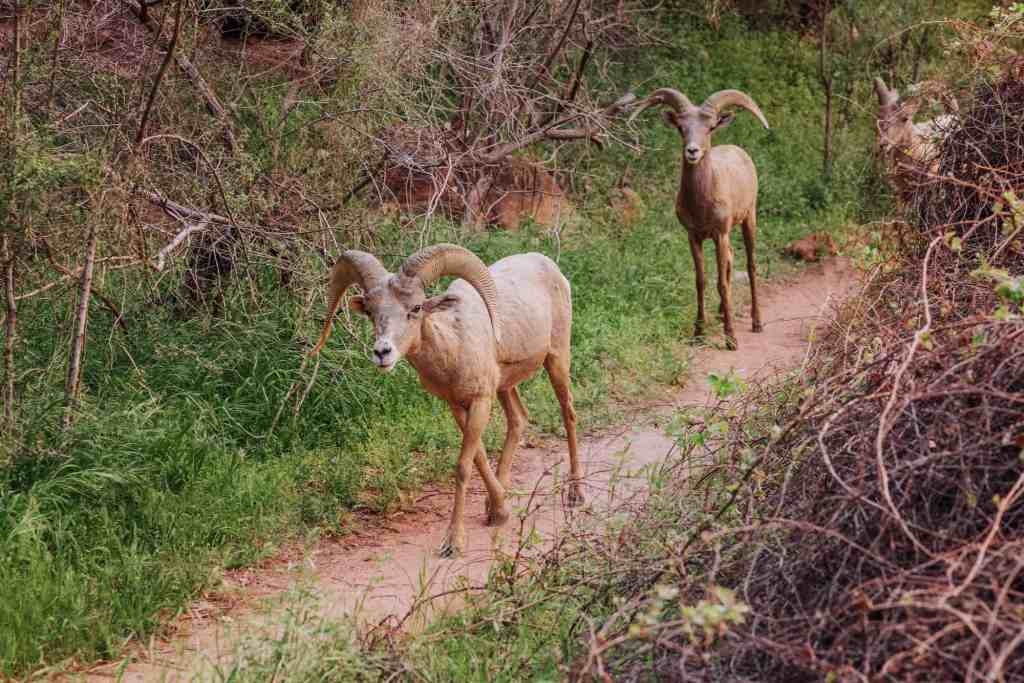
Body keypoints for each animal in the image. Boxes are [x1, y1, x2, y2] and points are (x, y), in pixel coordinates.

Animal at [307, 242, 581, 557]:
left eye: (415, 308)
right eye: (371, 312)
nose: (382, 352)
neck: (453, 346)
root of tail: (548, 264)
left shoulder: (480, 401)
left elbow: (463, 467)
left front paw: (453, 542)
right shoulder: (457, 405)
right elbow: (479, 458)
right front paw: (499, 510)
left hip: (557, 360)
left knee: (568, 414)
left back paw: (576, 495)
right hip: (505, 385)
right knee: (518, 420)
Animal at [622, 88, 770, 350]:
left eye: (710, 127)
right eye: (681, 128)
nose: (692, 151)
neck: (703, 203)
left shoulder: (719, 233)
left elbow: (721, 282)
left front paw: (731, 339)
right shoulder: (694, 236)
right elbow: (700, 280)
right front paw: (698, 333)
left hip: (748, 219)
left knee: (751, 266)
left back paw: (756, 322)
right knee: (731, 259)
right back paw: (721, 312)